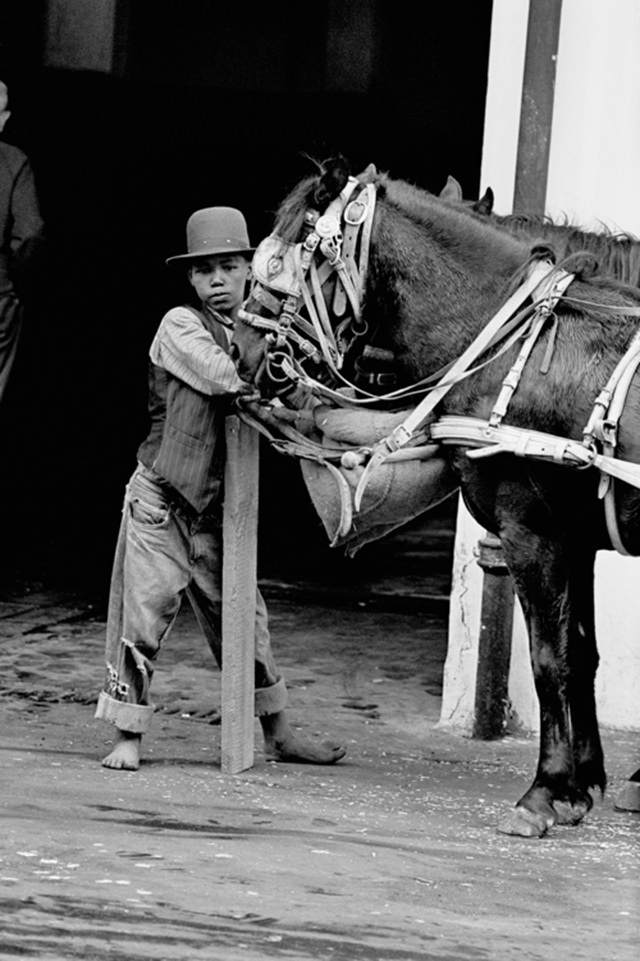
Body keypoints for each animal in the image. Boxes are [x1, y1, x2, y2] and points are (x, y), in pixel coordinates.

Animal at [232, 156, 640, 832]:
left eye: (284, 256)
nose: (241, 351)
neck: (508, 341)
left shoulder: (533, 533)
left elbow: (549, 658)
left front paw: (544, 792)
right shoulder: (575, 537)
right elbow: (581, 655)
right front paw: (582, 785)